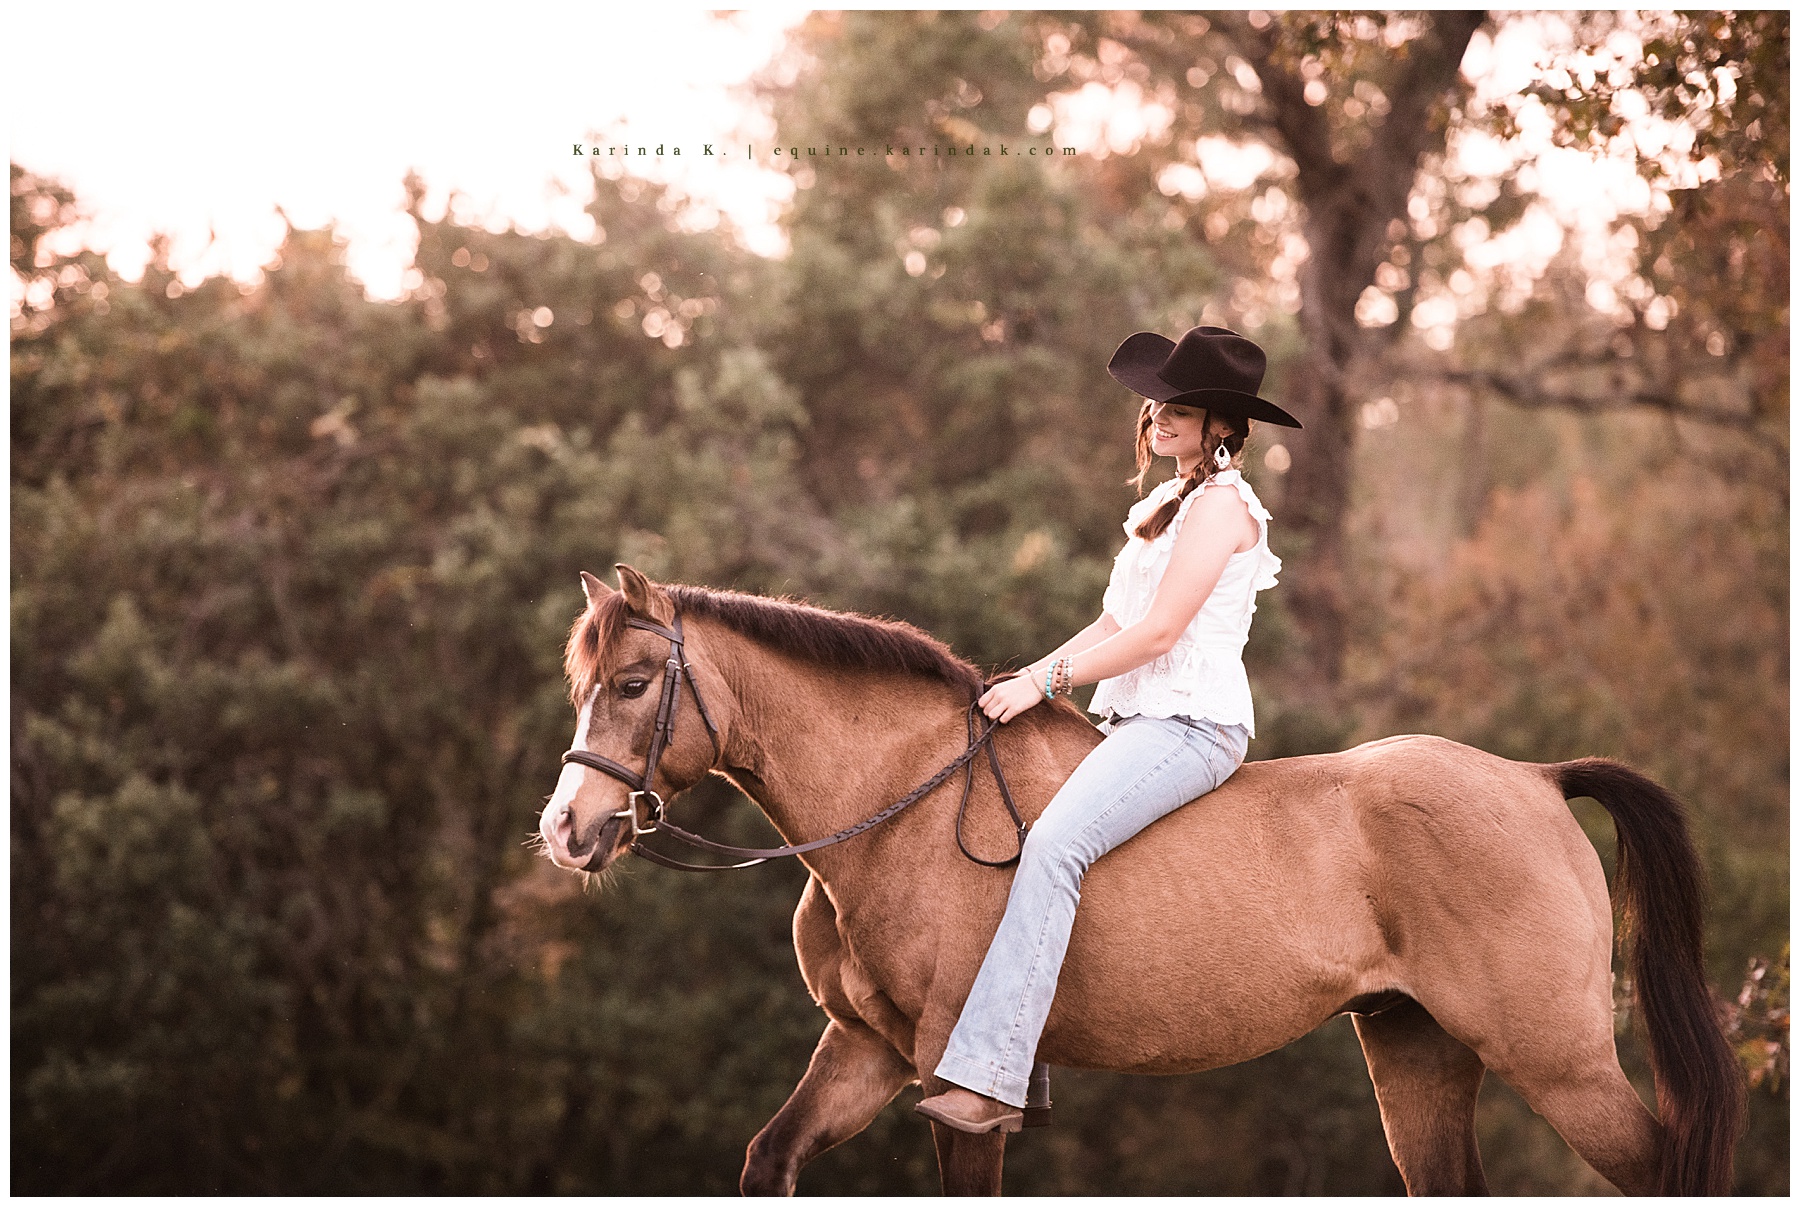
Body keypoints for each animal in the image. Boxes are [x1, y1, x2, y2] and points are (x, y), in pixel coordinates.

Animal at [537, 565, 1744, 1196]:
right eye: (583, 681)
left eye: (635, 683)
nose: (566, 829)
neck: (902, 809)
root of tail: (1536, 780)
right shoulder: (865, 1049)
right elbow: (768, 1156)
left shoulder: (954, 1084)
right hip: (1418, 1048)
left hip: (1560, 1061)